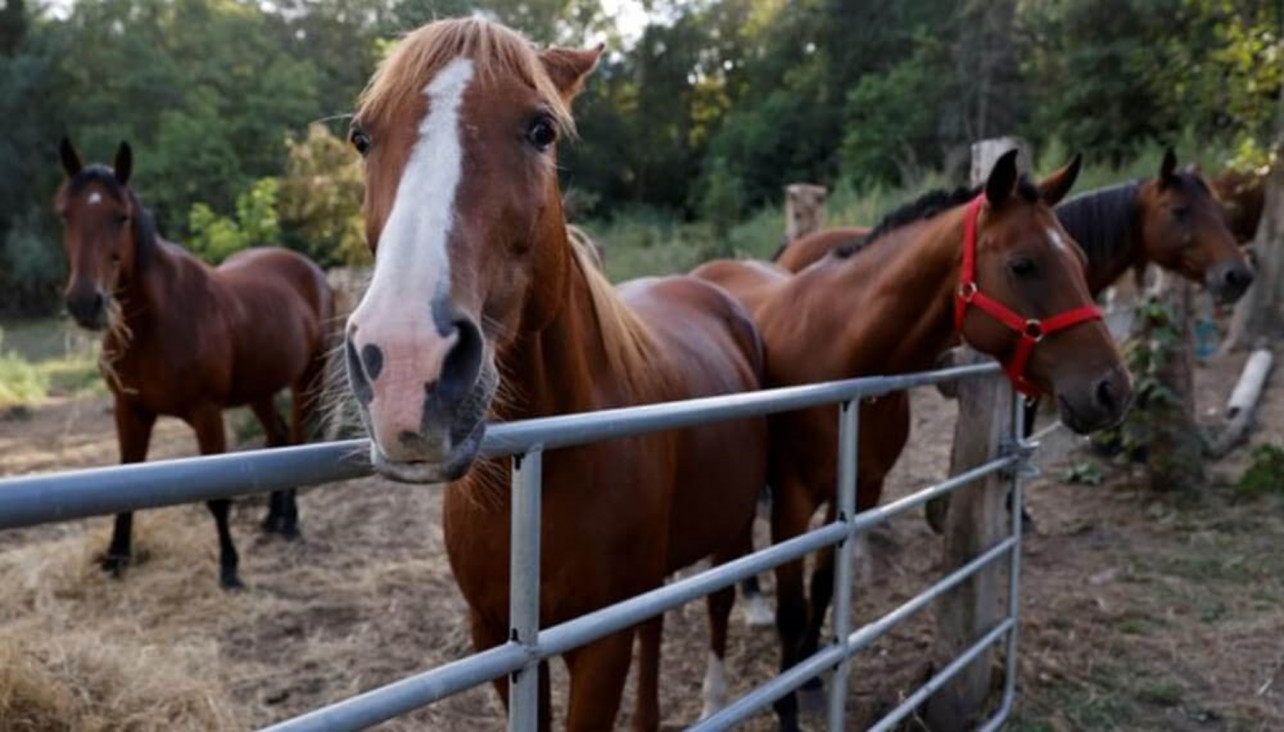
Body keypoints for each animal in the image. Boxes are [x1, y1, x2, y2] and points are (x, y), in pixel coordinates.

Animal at [55, 139, 334, 589]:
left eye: (121, 216)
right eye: (65, 213)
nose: (85, 302)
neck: (153, 324)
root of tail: (309, 269)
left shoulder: (206, 414)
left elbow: (217, 496)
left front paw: (229, 567)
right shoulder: (129, 411)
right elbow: (124, 479)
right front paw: (116, 558)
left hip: (309, 379)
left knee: (295, 440)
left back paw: (290, 521)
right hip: (259, 390)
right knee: (275, 439)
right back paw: (273, 518)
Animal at [340, 18, 765, 729]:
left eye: (541, 129)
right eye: (362, 137)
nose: (404, 364)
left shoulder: (599, 646)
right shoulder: (497, 639)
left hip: (730, 532)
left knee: (718, 605)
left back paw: (716, 699)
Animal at [693, 150, 1132, 732]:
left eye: (1081, 259)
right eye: (1023, 265)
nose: (1113, 390)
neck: (839, 351)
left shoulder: (858, 491)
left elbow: (823, 587)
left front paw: (811, 676)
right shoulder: (793, 501)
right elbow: (793, 609)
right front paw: (787, 704)